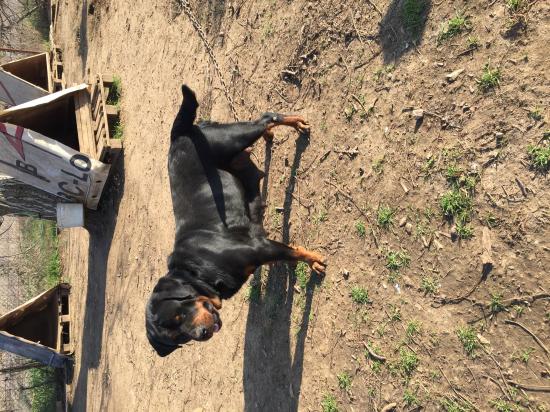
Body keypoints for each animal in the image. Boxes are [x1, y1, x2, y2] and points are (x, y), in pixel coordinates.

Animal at [147, 85, 328, 356]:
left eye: (179, 316)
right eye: (180, 337)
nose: (202, 334)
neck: (197, 271)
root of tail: (177, 135)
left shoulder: (260, 248)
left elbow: (295, 252)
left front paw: (314, 260)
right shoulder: (261, 248)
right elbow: (288, 256)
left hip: (232, 138)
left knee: (266, 117)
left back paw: (295, 124)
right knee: (261, 126)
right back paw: (273, 134)